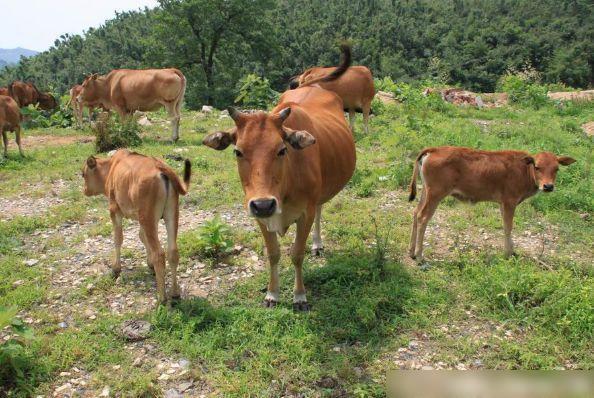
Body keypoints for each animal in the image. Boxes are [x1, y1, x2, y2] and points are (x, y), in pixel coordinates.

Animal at [80, 149, 190, 302]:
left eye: (83, 174)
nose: (85, 190)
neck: (111, 168)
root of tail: (160, 167)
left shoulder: (115, 210)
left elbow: (118, 239)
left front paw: (116, 268)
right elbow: (142, 237)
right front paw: (149, 263)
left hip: (148, 217)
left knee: (160, 254)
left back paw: (161, 298)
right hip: (171, 214)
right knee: (173, 252)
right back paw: (175, 293)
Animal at [201, 44, 354, 310]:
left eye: (282, 150)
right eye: (238, 151)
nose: (264, 204)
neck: (284, 188)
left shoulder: (305, 213)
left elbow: (297, 253)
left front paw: (300, 296)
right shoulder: (260, 216)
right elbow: (273, 253)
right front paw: (272, 293)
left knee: (320, 210)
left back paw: (317, 244)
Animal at [408, 146, 572, 262]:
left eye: (557, 168)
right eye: (537, 167)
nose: (548, 186)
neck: (524, 169)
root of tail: (435, 149)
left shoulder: (502, 204)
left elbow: (506, 226)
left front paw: (512, 251)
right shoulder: (509, 202)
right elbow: (508, 227)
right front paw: (507, 254)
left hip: (426, 193)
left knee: (415, 213)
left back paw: (411, 252)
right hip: (435, 195)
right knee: (423, 217)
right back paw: (420, 255)